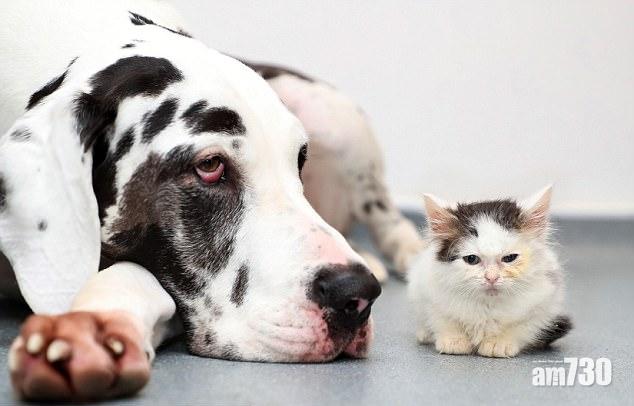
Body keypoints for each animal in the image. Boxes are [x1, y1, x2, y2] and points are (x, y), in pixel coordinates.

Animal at [0, 0, 424, 400]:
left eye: (299, 160)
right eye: (209, 165)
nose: (356, 294)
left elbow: (135, 275)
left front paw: (95, 330)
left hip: (332, 114)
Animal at [407, 186, 571, 357]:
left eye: (509, 258)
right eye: (472, 259)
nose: (491, 277)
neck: (488, 304)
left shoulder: (544, 302)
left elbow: (522, 327)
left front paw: (499, 343)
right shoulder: (427, 290)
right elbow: (443, 319)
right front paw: (454, 341)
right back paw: (425, 335)